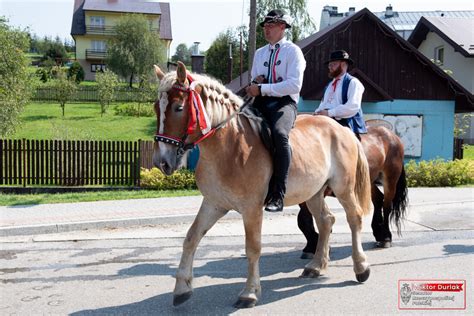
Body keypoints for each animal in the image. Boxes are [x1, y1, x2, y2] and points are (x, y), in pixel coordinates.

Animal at [153, 62, 374, 308]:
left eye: (179, 108)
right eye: (155, 108)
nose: (162, 162)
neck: (228, 147)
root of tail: (342, 129)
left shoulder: (252, 209)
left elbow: (253, 247)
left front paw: (249, 292)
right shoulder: (214, 204)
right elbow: (191, 238)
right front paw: (182, 288)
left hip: (343, 187)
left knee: (354, 218)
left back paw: (361, 267)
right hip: (314, 192)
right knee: (326, 221)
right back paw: (316, 266)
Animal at [300, 124, 408, 258]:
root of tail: (392, 135)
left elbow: (305, 218)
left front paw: (316, 244)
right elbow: (303, 220)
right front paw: (312, 245)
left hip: (390, 178)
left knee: (387, 206)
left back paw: (385, 237)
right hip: (368, 181)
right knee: (378, 199)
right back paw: (378, 232)